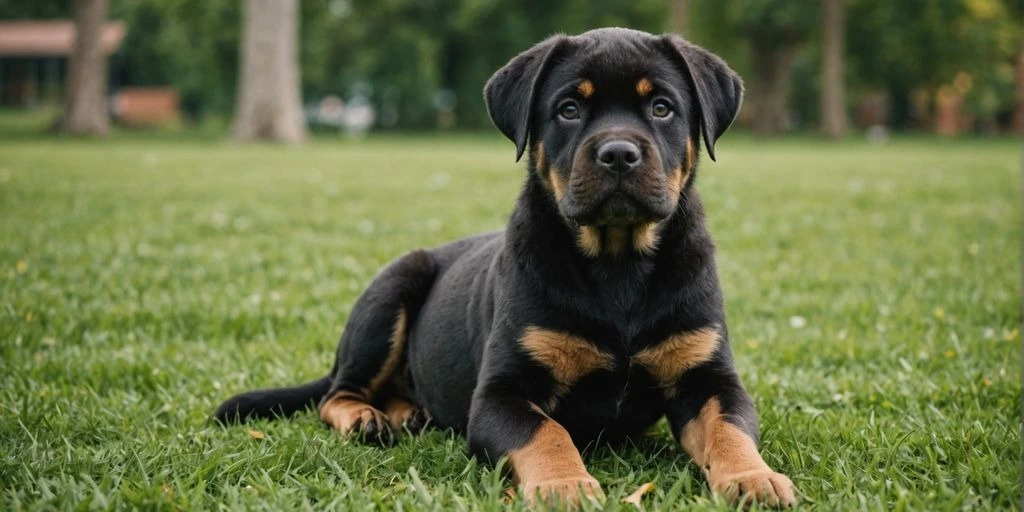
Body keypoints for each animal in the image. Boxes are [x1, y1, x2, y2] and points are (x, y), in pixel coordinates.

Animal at [211, 28, 794, 507]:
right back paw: (367, 418)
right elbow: (547, 433)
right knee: (337, 393)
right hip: (389, 294)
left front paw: (754, 477)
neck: (617, 263)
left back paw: (407, 411)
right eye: (568, 109)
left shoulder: (708, 377)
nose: (618, 153)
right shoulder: (502, 392)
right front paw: (565, 485)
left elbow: (730, 427)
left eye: (663, 107)